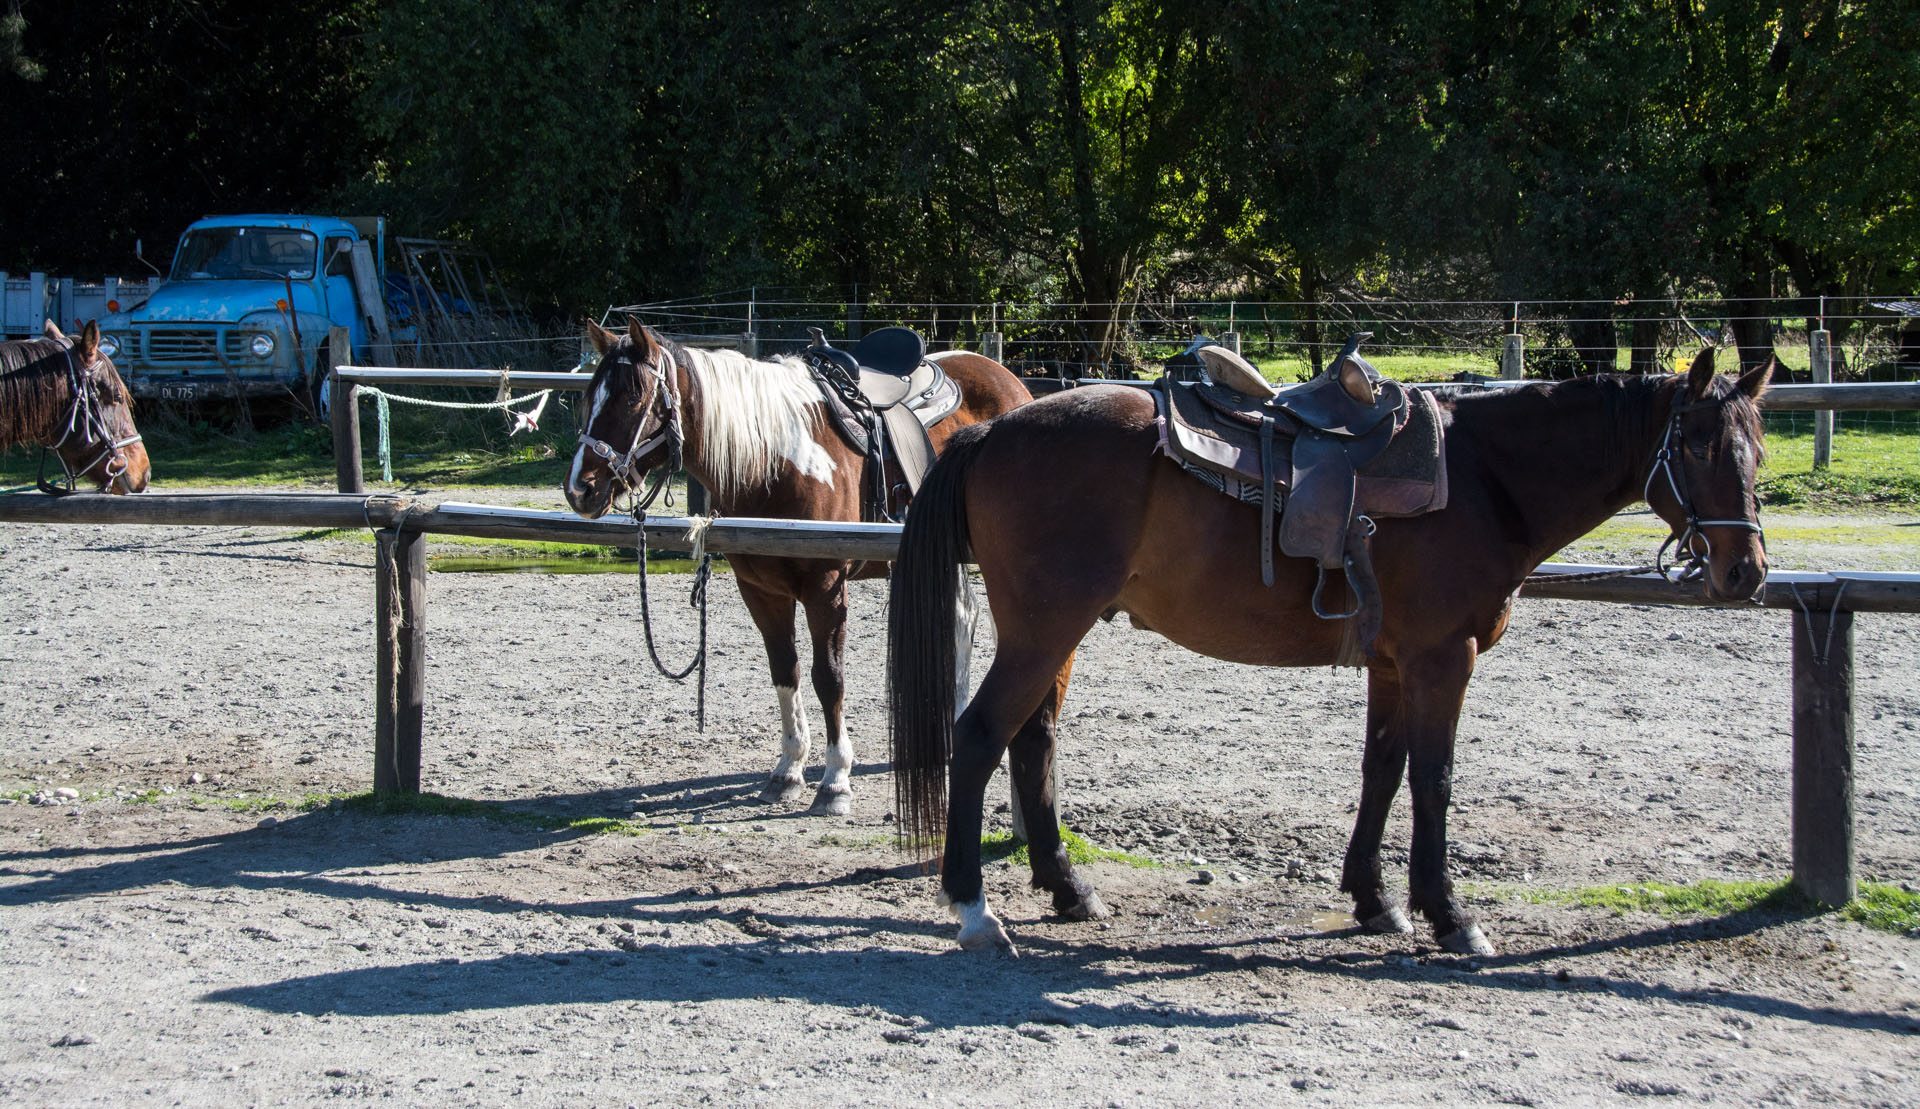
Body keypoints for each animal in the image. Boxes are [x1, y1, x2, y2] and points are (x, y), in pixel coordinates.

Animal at [564, 319, 1032, 815]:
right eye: (587, 397)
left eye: (632, 399)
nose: (580, 489)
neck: (774, 459)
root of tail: (1012, 383)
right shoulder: (761, 590)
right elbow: (784, 670)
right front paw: (788, 770)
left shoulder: (825, 587)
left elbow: (828, 677)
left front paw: (835, 780)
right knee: (963, 618)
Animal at [889, 348, 1771, 955]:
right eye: (1696, 446)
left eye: (1756, 450)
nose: (1746, 571)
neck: (1483, 478)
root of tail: (994, 429)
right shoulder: (1443, 658)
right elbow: (1434, 779)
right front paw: (1450, 914)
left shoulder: (1394, 663)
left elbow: (1382, 769)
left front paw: (1375, 900)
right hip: (1042, 631)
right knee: (979, 738)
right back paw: (973, 907)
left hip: (1058, 633)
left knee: (1032, 741)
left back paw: (1069, 889)